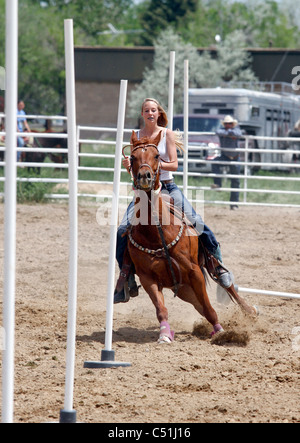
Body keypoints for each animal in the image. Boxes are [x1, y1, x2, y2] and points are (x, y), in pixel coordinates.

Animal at [120, 130, 256, 346]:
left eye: (156, 155)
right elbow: (161, 310)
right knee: (197, 304)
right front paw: (165, 335)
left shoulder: (194, 272)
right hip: (184, 289)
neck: (157, 233)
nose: (144, 177)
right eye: (132, 158)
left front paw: (221, 332)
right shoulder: (147, 277)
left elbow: (210, 308)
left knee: (225, 284)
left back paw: (249, 311)